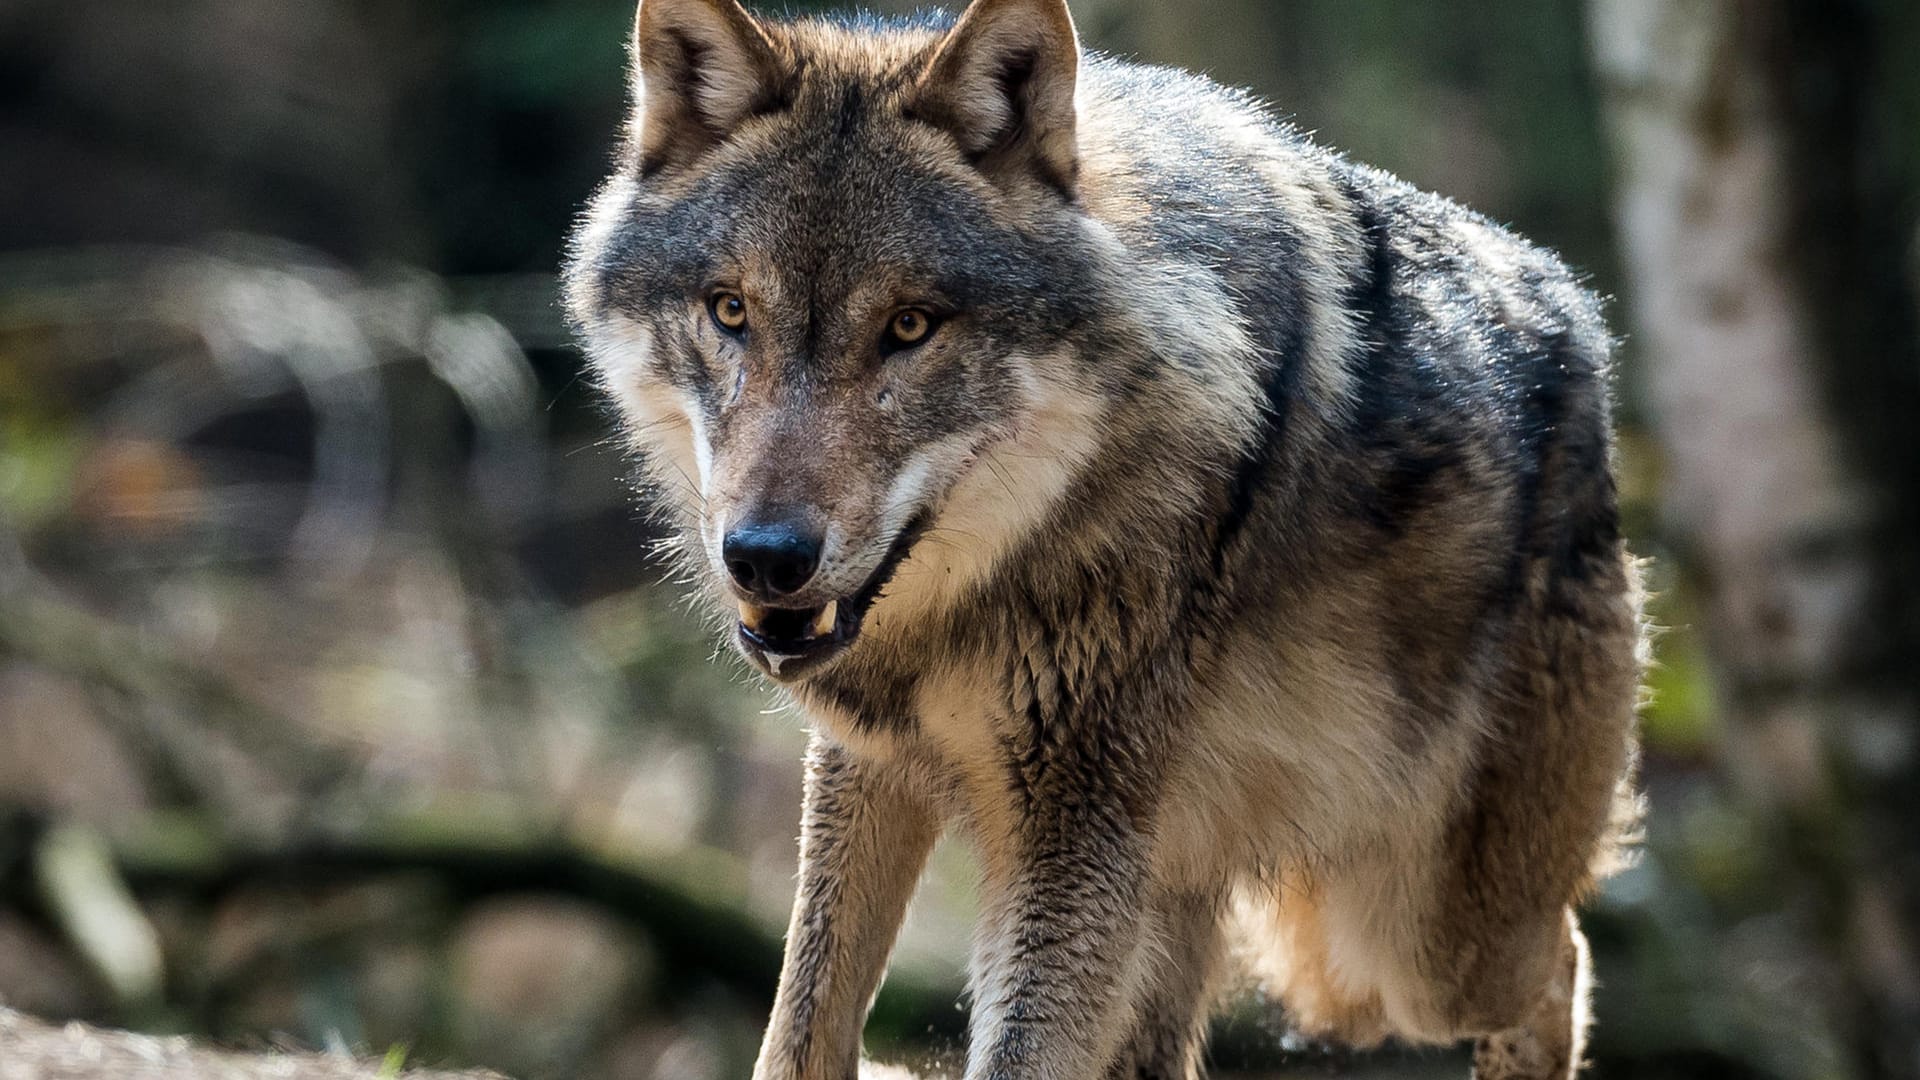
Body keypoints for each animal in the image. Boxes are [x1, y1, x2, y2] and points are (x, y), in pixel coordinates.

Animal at [560, 0, 1643, 1068]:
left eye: (911, 326)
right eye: (730, 310)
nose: (766, 557)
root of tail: (1584, 317)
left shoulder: (1071, 825)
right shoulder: (868, 766)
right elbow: (799, 1030)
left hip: (1412, 946)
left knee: (1563, 962)